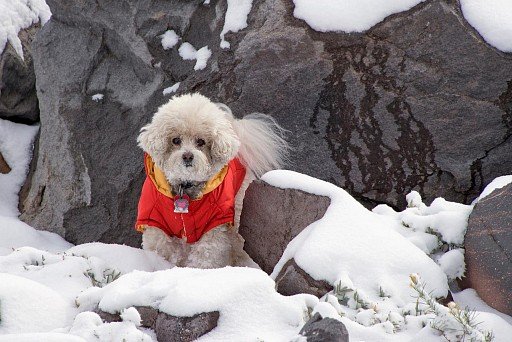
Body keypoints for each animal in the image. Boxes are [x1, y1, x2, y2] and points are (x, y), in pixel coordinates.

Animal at [135, 93, 288, 268]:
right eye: (176, 140)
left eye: (201, 141)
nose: (187, 156)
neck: (185, 188)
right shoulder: (155, 221)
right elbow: (161, 248)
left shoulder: (213, 225)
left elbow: (205, 256)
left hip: (238, 211)